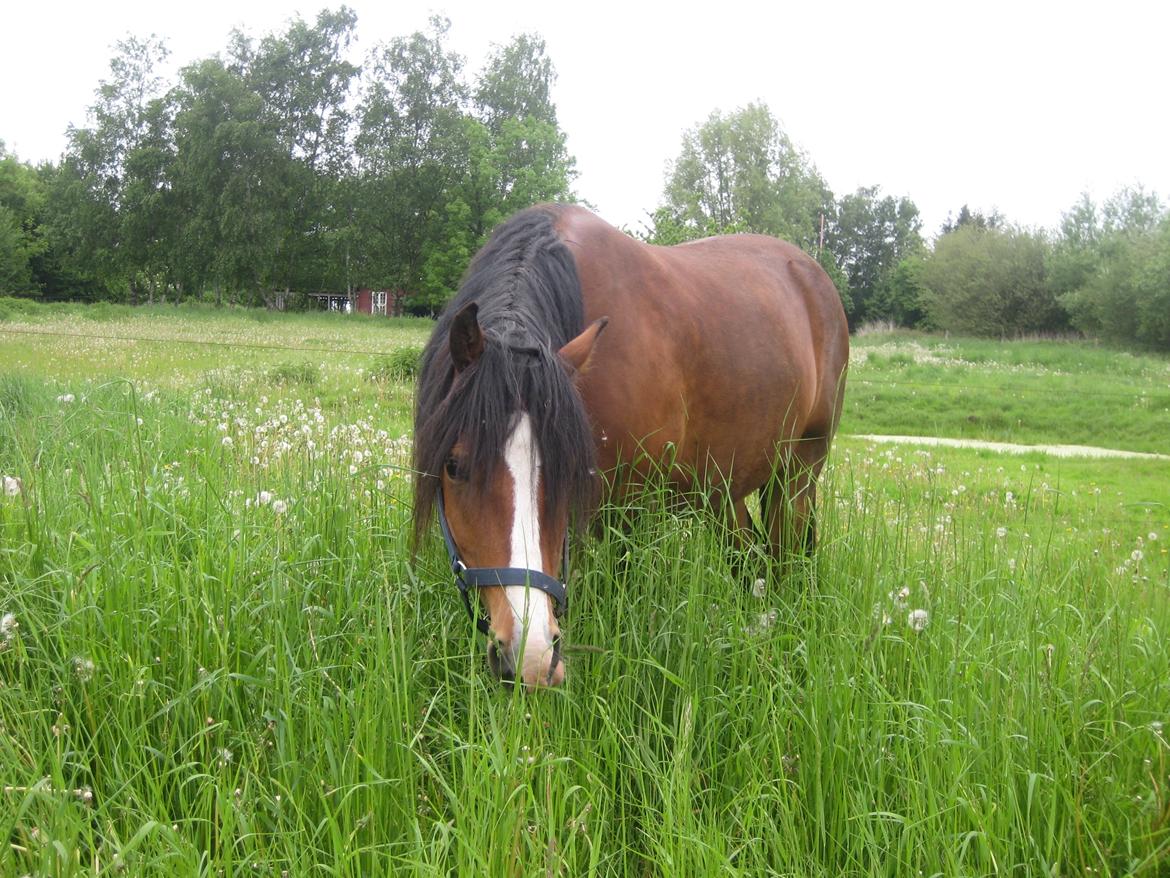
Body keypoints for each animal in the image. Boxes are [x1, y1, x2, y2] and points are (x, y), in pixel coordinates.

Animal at [414, 202, 851, 693]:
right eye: (454, 466)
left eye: (567, 470)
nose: (528, 656)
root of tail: (813, 275)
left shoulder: (628, 513)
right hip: (722, 492)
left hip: (796, 477)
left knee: (784, 557)